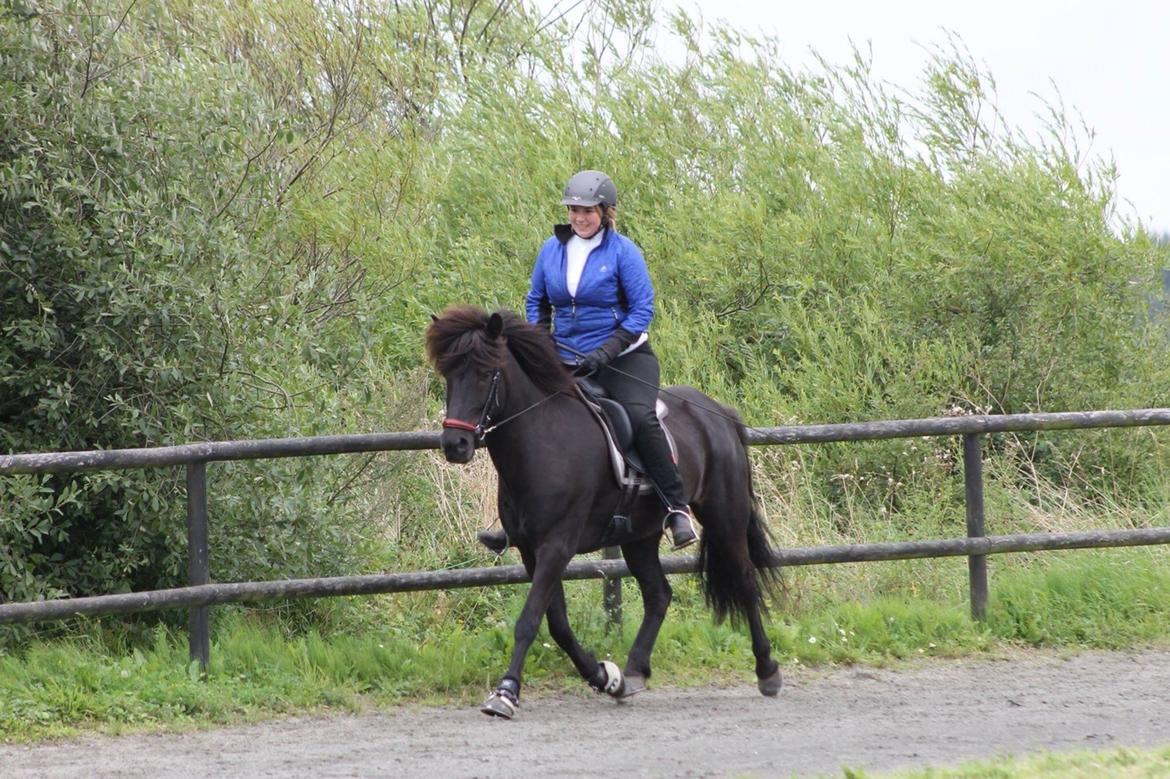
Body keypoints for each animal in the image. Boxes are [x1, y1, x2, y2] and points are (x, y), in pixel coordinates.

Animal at [425, 304, 781, 715]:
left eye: (485, 373)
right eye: (449, 373)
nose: (455, 444)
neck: (543, 439)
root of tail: (717, 411)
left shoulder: (558, 545)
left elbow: (529, 620)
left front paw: (506, 692)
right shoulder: (533, 550)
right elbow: (558, 624)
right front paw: (604, 677)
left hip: (725, 516)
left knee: (745, 580)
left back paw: (768, 670)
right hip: (639, 535)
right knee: (659, 595)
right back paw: (634, 673)